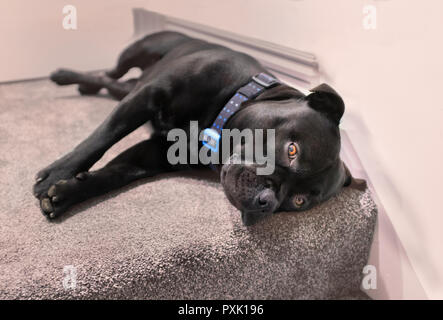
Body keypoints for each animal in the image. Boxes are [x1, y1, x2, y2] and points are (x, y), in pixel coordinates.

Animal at [34, 30, 360, 225]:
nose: (267, 203)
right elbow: (104, 136)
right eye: (292, 150)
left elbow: (115, 173)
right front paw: (57, 173)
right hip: (137, 52)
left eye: (298, 201)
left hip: (128, 85)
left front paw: (67, 193)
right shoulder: (149, 95)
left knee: (111, 82)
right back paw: (66, 76)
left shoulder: (155, 152)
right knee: (110, 73)